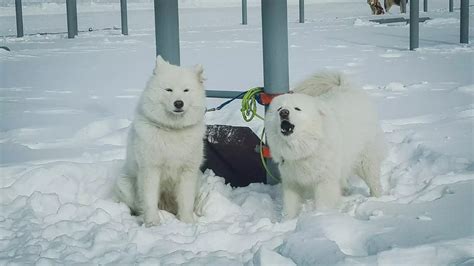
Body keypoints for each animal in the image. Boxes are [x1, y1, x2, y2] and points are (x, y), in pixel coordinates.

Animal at [114, 56, 206, 227]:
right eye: (168, 90)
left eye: (186, 90)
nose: (178, 103)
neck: (173, 130)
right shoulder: (150, 169)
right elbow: (149, 200)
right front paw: (152, 223)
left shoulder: (188, 172)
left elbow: (186, 201)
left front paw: (187, 222)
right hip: (124, 183)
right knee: (136, 205)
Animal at [264, 71, 386, 218]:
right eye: (279, 109)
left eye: (297, 109)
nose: (284, 113)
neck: (306, 149)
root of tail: (345, 87)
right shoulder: (292, 181)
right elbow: (290, 207)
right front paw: (287, 221)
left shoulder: (324, 181)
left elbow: (323, 203)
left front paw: (320, 216)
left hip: (365, 160)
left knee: (374, 180)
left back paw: (377, 198)